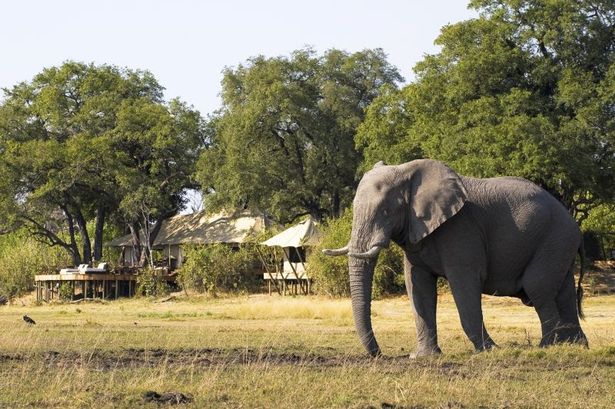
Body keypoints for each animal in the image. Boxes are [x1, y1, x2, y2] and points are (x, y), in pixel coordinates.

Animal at [322, 158, 588, 356]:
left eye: (386, 211)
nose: (380, 354)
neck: (407, 172)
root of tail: (574, 224)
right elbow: (417, 285)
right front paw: (424, 357)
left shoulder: (461, 230)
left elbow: (464, 285)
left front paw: (489, 351)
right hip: (559, 244)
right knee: (563, 292)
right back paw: (577, 346)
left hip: (554, 238)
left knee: (538, 289)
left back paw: (548, 347)